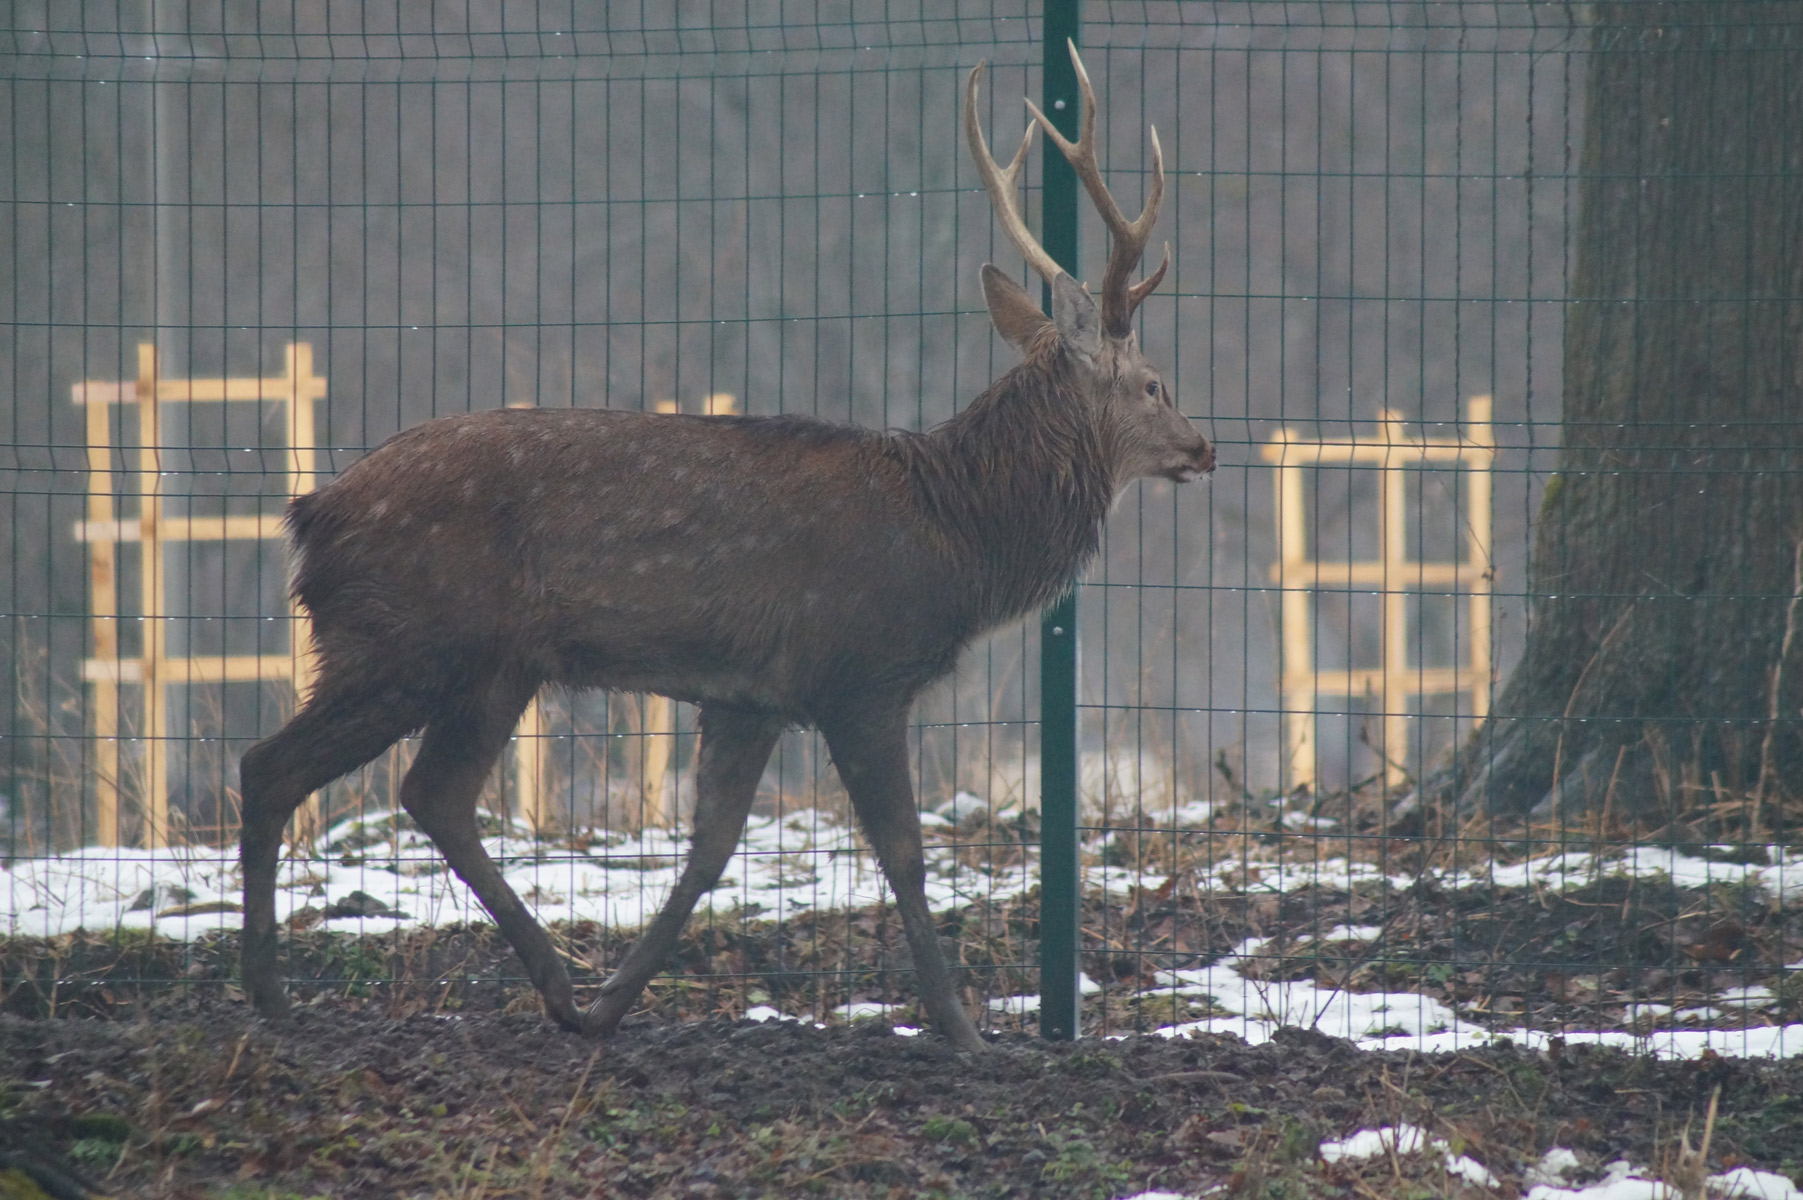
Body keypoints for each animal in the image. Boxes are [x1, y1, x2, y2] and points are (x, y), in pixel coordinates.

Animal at [236, 39, 1211, 1045]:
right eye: (1152, 383)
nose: (1201, 446)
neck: (957, 532)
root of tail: (311, 515)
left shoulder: (750, 695)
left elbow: (709, 851)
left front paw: (618, 999)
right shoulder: (859, 672)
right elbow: (902, 852)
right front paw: (963, 1032)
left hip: (495, 664)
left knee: (434, 794)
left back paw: (560, 990)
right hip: (399, 638)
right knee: (271, 766)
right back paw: (270, 990)